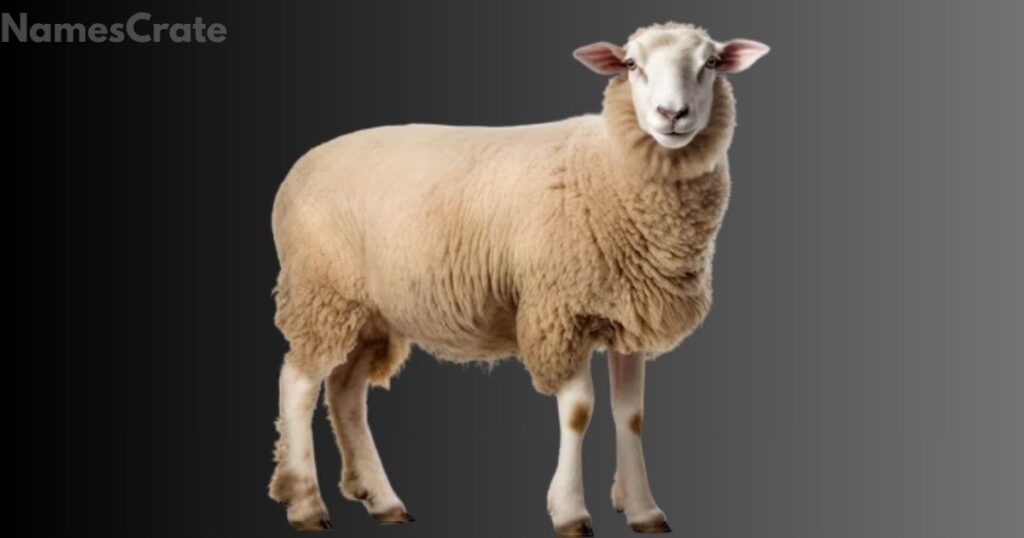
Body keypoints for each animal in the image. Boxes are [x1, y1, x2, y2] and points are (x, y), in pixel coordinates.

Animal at [268, 21, 769, 535]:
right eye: (631, 64)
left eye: (711, 64)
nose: (672, 114)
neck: (608, 167)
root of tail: (299, 168)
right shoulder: (559, 310)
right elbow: (579, 411)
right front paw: (570, 511)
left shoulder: (627, 313)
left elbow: (631, 415)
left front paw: (644, 509)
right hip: (320, 290)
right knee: (299, 384)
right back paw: (306, 504)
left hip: (367, 311)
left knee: (346, 392)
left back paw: (382, 500)